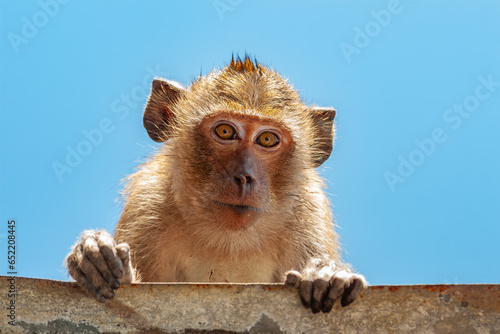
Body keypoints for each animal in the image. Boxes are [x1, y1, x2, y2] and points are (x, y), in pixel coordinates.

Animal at [64, 56, 366, 314]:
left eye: (267, 139)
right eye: (225, 131)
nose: (244, 177)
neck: (229, 241)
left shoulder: (308, 213)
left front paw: (328, 276)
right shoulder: (147, 203)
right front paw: (95, 258)